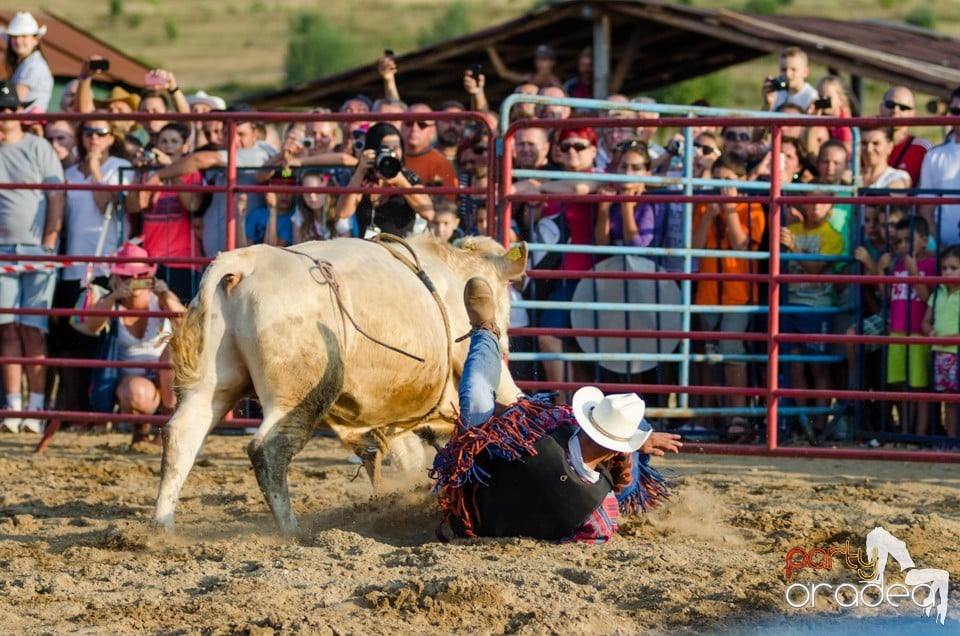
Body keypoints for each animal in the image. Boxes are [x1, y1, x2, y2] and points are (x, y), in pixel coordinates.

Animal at [151, 234, 528, 532]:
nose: (508, 341)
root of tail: (243, 264)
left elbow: (405, 456)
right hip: (299, 394)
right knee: (269, 448)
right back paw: (290, 528)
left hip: (214, 382)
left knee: (183, 435)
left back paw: (162, 525)